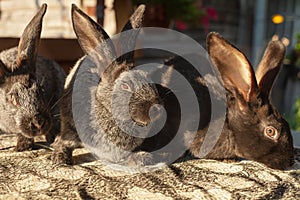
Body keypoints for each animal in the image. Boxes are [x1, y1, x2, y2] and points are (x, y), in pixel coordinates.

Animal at [49, 3, 166, 166]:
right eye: (125, 86)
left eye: (148, 78)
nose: (157, 109)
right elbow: (66, 144)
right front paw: (59, 158)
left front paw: (143, 156)